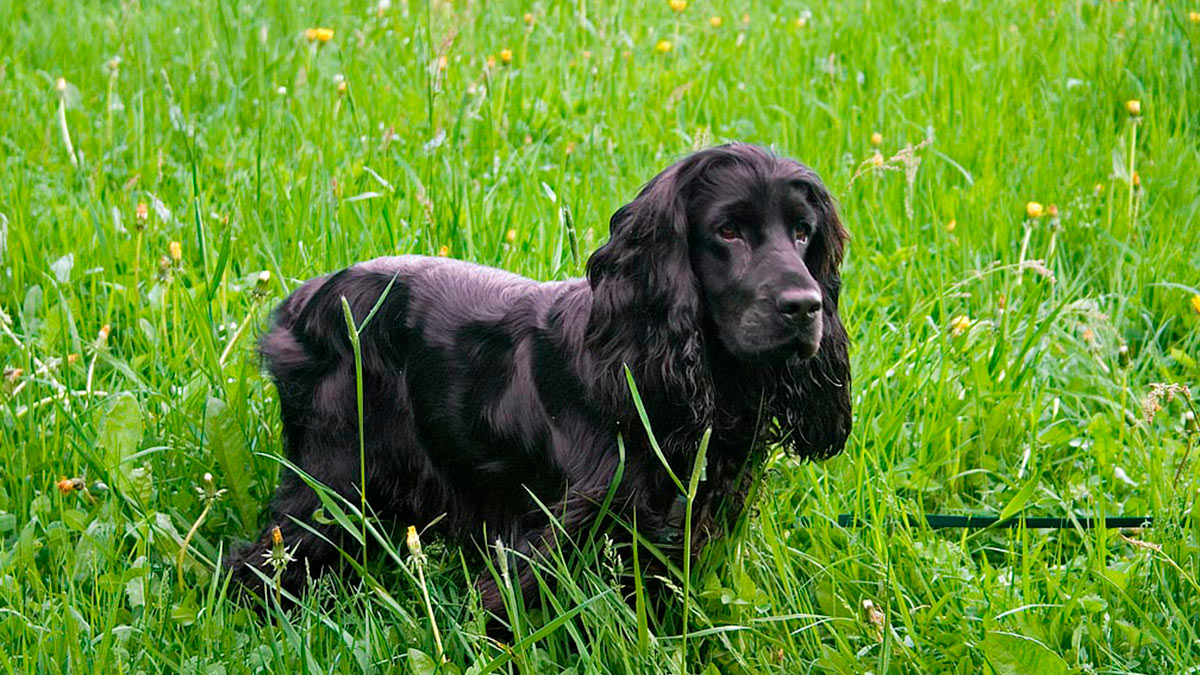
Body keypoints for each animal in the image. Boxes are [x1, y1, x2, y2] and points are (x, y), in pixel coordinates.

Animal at [229, 142, 849, 624]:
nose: (805, 307)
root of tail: (303, 299)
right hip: (331, 476)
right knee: (261, 561)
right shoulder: (551, 538)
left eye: (803, 233)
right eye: (727, 231)